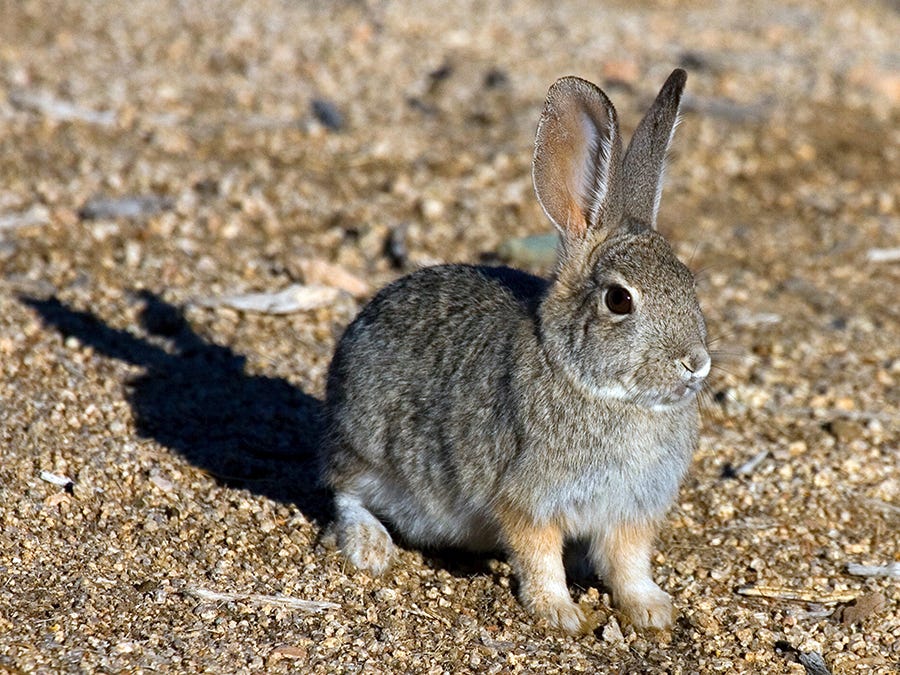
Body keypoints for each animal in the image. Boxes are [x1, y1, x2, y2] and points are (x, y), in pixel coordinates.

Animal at [321, 68, 710, 635]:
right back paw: (371, 547)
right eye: (619, 299)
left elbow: (628, 562)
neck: (595, 386)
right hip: (366, 444)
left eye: (689, 283)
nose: (695, 362)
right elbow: (538, 554)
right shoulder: (529, 497)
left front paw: (652, 610)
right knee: (344, 490)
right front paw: (560, 613)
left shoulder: (630, 511)